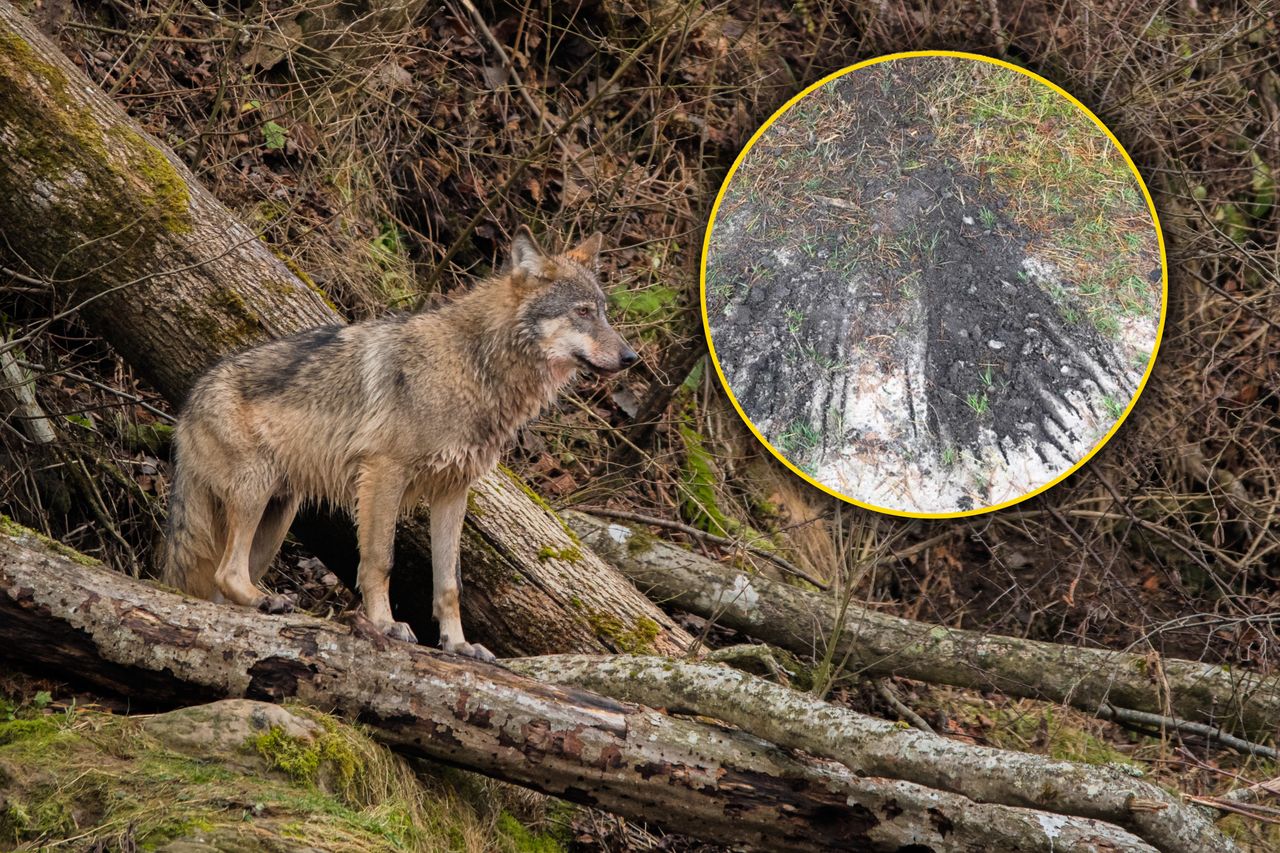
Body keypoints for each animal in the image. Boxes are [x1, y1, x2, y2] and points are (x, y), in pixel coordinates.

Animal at [162, 229, 637, 660]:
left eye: (603, 313)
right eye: (582, 312)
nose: (632, 358)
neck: (473, 368)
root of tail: (188, 404)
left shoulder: (454, 491)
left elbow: (449, 583)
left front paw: (457, 644)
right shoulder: (383, 473)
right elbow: (379, 559)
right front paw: (385, 624)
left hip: (278, 516)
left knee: (222, 584)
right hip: (255, 496)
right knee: (226, 572)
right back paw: (265, 599)